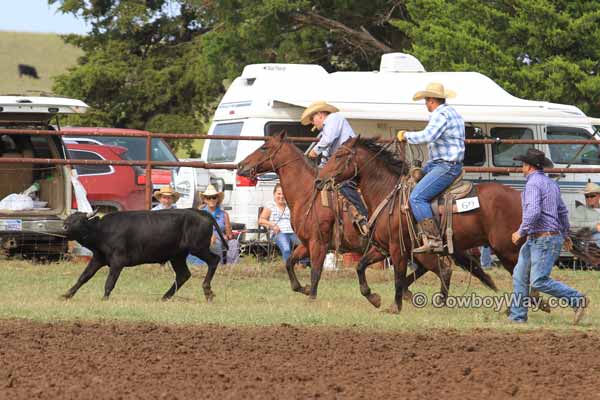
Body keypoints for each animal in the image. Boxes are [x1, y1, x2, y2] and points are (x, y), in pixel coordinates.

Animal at [62, 209, 227, 300]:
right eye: (68, 219)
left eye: (79, 220)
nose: (64, 227)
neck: (102, 230)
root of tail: (202, 212)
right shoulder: (98, 258)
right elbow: (84, 277)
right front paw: (67, 294)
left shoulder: (118, 261)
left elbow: (110, 282)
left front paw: (104, 298)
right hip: (177, 256)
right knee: (183, 275)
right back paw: (165, 297)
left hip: (198, 248)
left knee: (214, 260)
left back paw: (208, 291)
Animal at [237, 131, 494, 304]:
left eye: (264, 147)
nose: (240, 166)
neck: (308, 193)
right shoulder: (307, 243)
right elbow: (290, 263)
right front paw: (302, 288)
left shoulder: (319, 243)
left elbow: (316, 271)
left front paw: (311, 297)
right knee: (426, 269)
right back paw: (408, 293)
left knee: (441, 268)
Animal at [318, 138, 520, 312]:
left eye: (339, 156)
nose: (319, 180)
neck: (387, 193)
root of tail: (518, 195)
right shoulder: (384, 247)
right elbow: (360, 266)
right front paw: (373, 297)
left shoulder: (397, 248)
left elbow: (398, 277)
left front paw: (395, 307)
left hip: (505, 248)